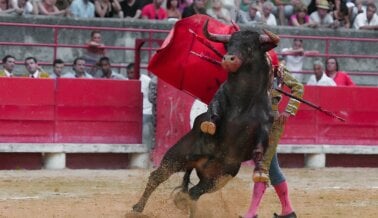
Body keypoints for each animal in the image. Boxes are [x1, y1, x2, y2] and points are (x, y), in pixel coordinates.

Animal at [132, 19, 278, 217]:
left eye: (249, 46)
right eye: (229, 45)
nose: (228, 59)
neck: (243, 100)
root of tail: (199, 164)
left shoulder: (265, 124)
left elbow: (260, 146)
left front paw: (260, 170)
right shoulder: (217, 102)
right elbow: (213, 112)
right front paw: (209, 125)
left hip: (217, 178)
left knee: (193, 193)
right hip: (177, 155)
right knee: (158, 177)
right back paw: (136, 209)